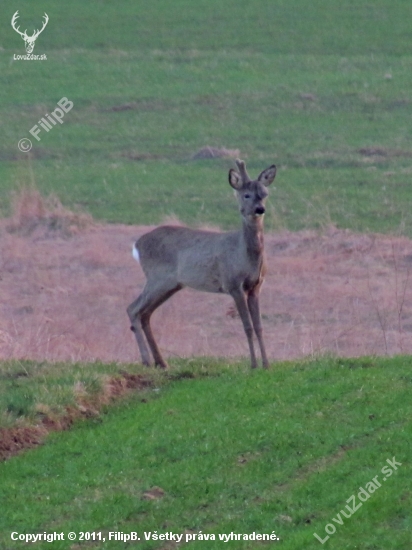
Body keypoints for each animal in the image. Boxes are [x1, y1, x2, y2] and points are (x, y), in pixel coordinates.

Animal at [128, 160, 276, 370]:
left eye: (264, 193)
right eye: (246, 194)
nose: (260, 209)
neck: (244, 255)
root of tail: (137, 244)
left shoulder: (256, 286)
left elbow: (259, 326)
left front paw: (266, 364)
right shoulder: (233, 284)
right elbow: (247, 326)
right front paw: (254, 365)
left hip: (172, 285)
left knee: (145, 313)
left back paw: (161, 362)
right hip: (157, 278)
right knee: (133, 308)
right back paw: (147, 360)